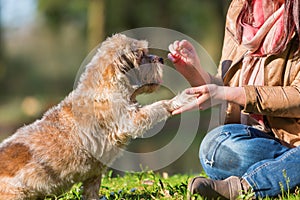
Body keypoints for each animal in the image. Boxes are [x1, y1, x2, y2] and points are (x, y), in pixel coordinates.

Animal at [0, 33, 195, 199]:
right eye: (142, 55)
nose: (160, 59)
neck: (108, 86)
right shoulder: (130, 120)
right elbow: (159, 106)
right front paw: (179, 100)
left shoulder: (93, 176)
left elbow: (92, 192)